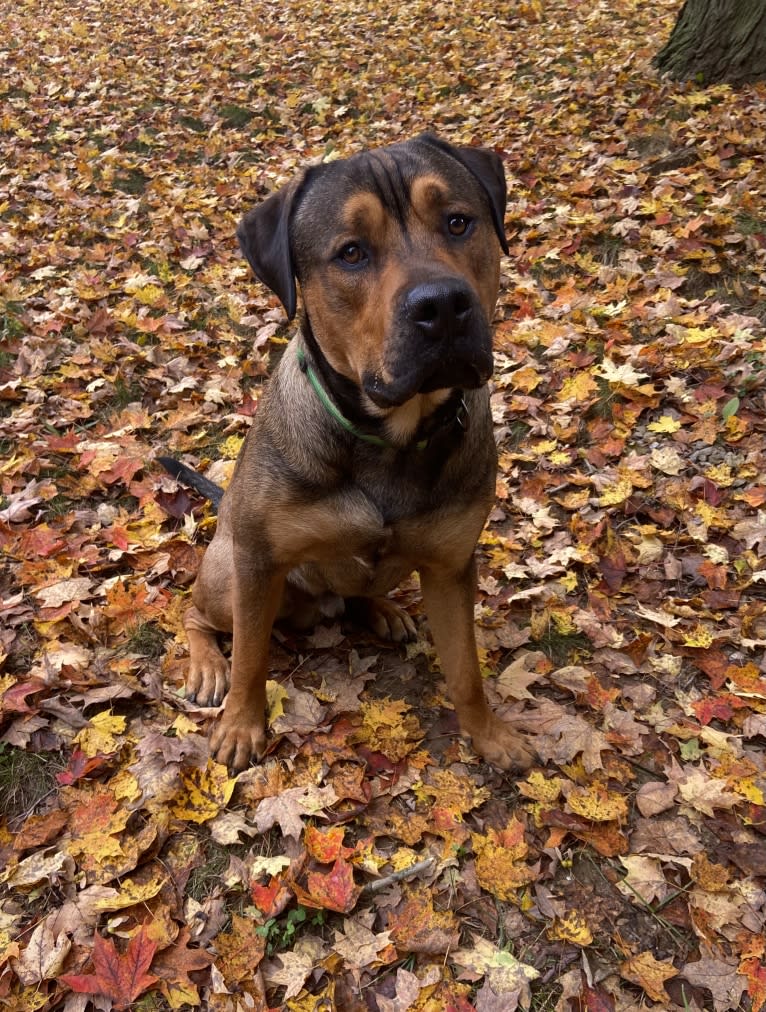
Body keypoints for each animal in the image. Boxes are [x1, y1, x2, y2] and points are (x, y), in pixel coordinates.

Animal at [158, 130, 534, 769]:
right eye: (351, 253)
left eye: (459, 222)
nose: (442, 305)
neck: (390, 436)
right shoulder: (258, 563)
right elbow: (250, 658)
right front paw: (241, 725)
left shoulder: (451, 566)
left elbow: (466, 670)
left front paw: (489, 734)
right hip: (227, 573)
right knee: (198, 614)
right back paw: (208, 663)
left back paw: (383, 610)